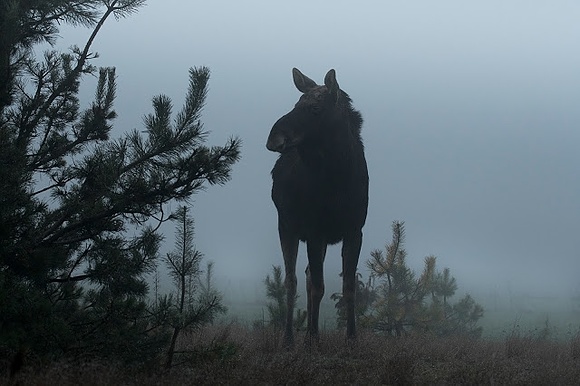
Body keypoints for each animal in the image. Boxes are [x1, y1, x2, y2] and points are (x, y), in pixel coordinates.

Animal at [266, 68, 368, 346]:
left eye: (314, 107)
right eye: (296, 104)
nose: (273, 138)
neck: (339, 178)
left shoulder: (354, 230)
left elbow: (349, 287)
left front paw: (352, 338)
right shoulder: (314, 231)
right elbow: (318, 287)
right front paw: (311, 338)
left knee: (307, 275)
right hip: (286, 227)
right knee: (292, 280)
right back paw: (289, 338)